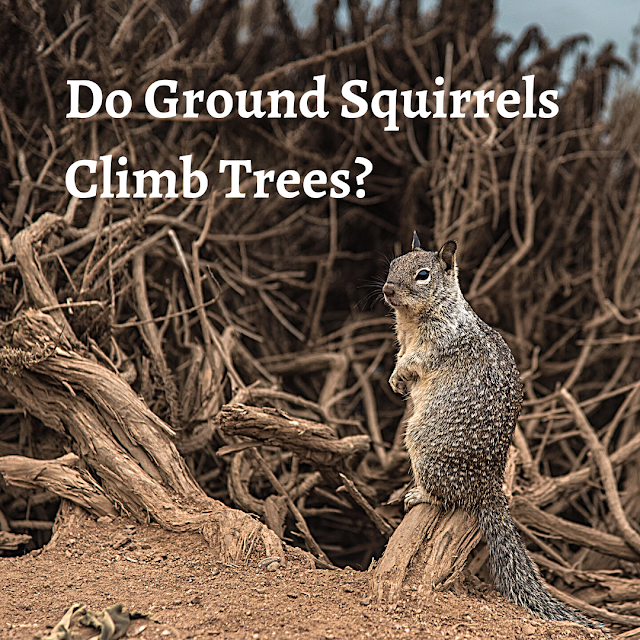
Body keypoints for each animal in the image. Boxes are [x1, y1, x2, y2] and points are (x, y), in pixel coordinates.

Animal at [382, 232, 596, 627]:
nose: (388, 289)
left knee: (448, 498)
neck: (413, 319)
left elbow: (417, 360)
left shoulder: (439, 344)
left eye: (423, 274)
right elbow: (400, 358)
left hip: (421, 441)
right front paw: (394, 379)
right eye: (392, 264)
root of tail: (489, 485)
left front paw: (400, 374)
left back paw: (420, 495)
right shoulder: (403, 340)